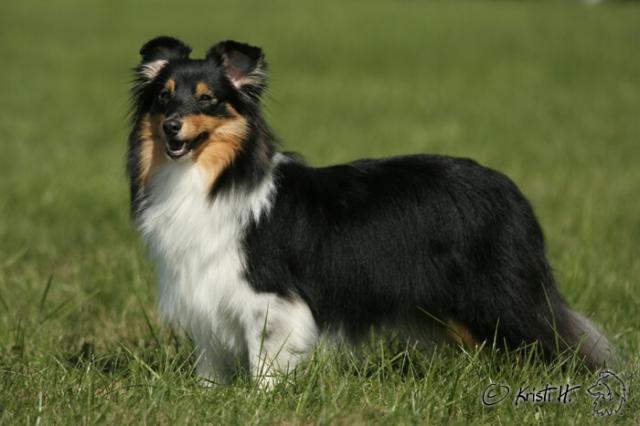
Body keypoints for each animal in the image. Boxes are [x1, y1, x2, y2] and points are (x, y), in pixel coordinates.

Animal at [127, 36, 613, 386]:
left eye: (207, 99)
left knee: (566, 338)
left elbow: (265, 359)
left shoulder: (270, 300)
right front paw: (209, 395)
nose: (172, 127)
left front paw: (260, 400)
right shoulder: (205, 292)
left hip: (501, 295)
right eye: (164, 98)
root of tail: (507, 187)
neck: (212, 177)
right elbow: (209, 363)